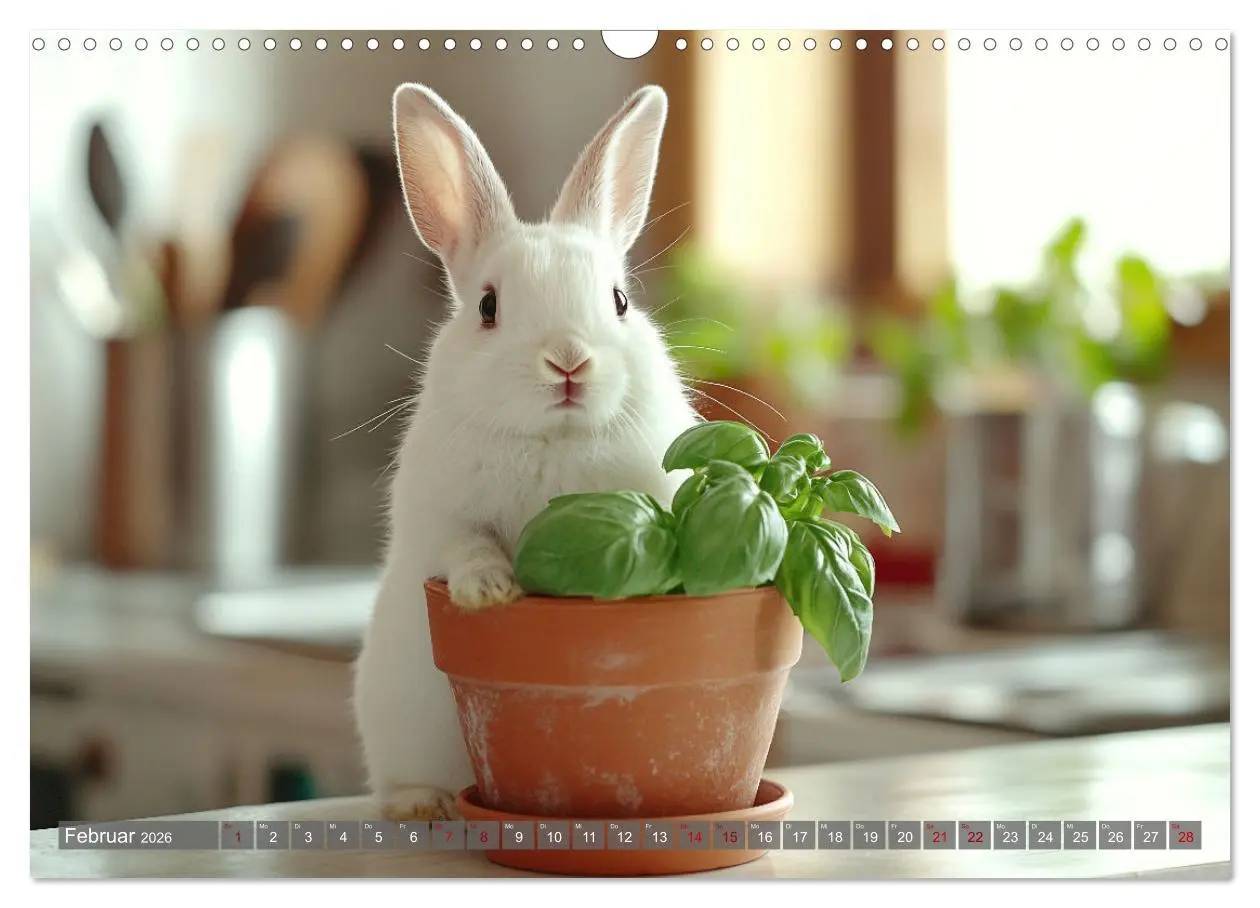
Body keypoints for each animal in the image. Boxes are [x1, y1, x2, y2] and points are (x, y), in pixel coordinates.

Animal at [352, 82, 700, 821]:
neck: (552, 441)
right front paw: (490, 591)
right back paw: (424, 805)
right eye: (488, 306)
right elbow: (467, 545)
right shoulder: (439, 519)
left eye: (619, 300)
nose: (568, 361)